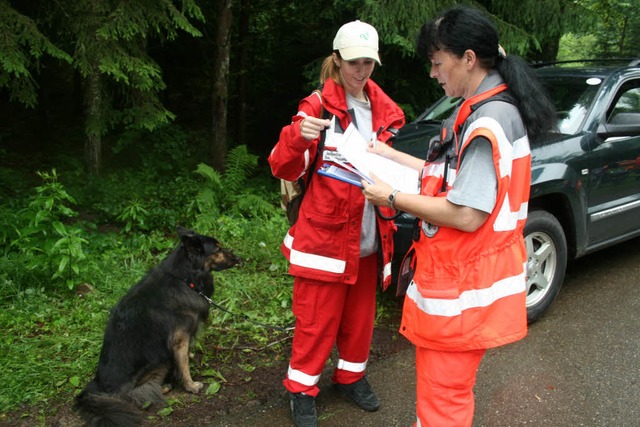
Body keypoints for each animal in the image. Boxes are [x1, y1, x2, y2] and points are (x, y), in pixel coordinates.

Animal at [73, 226, 242, 426]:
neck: (185, 278)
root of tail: (97, 385)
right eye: (217, 249)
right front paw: (191, 385)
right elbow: (183, 365)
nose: (239, 259)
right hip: (159, 359)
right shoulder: (179, 338)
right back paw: (164, 387)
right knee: (136, 395)